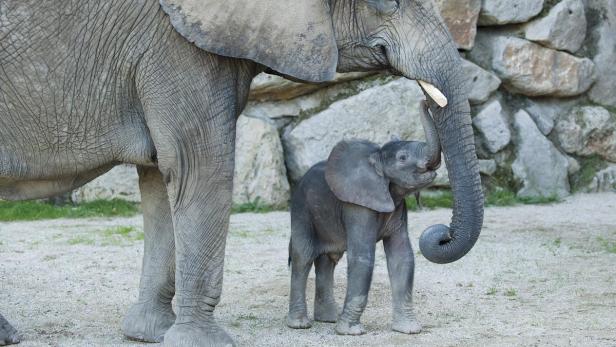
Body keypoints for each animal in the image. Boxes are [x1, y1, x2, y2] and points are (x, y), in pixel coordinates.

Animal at [286, 101, 440, 338]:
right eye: (403, 158)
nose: (426, 101)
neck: (376, 156)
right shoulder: (357, 206)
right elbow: (363, 257)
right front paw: (351, 332)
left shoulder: (397, 206)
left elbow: (402, 257)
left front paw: (409, 329)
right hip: (301, 209)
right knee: (303, 256)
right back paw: (300, 324)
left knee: (328, 260)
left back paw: (329, 319)